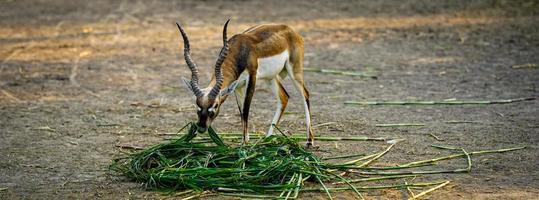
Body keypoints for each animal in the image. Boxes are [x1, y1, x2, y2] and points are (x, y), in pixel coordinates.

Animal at [177, 19, 314, 146]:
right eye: (197, 104)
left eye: (215, 105)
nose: (201, 127)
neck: (240, 50)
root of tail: (292, 31)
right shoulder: (238, 86)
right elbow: (241, 112)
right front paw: (246, 140)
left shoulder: (252, 78)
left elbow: (246, 109)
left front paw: (244, 143)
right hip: (270, 78)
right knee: (284, 97)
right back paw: (268, 139)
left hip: (294, 71)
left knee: (305, 94)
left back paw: (309, 140)